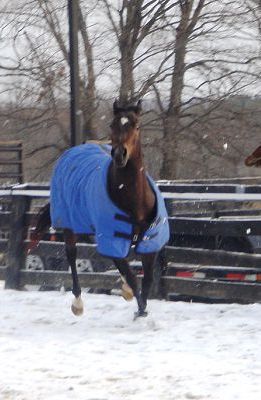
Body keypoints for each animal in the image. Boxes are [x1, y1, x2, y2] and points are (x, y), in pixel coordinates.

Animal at [31, 100, 169, 318]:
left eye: (136, 126)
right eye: (112, 125)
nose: (120, 154)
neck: (134, 200)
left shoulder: (149, 242)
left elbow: (146, 278)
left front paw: (141, 306)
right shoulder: (110, 237)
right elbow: (132, 275)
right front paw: (140, 311)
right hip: (70, 224)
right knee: (72, 255)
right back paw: (78, 303)